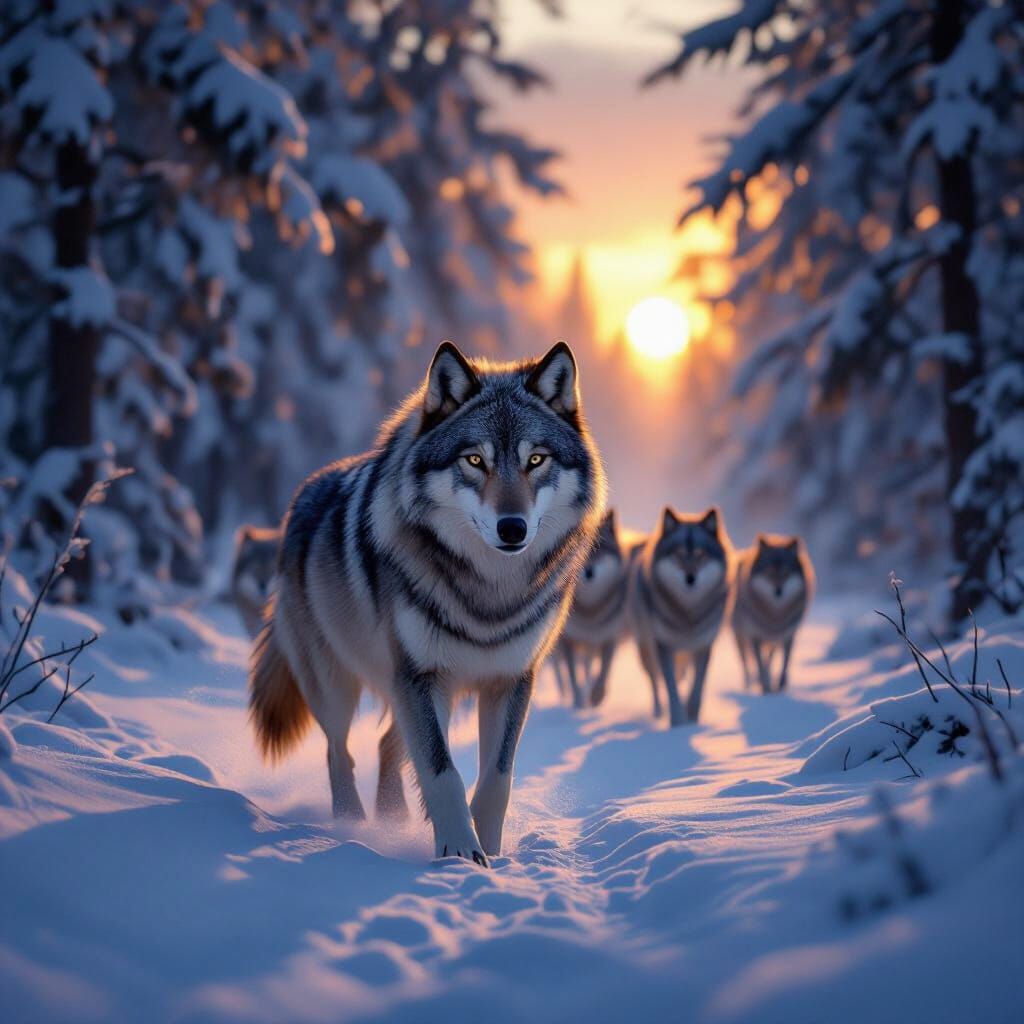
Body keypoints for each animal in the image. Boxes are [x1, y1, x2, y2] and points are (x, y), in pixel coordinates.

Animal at [250, 341, 606, 865]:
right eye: (474, 460)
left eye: (536, 459)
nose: (512, 528)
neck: (489, 593)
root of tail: (304, 491)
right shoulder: (419, 675)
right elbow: (443, 773)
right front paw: (459, 853)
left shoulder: (511, 679)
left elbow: (496, 779)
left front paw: (491, 855)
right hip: (339, 684)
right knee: (340, 751)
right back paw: (353, 824)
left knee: (384, 745)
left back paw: (392, 818)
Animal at [551, 509, 631, 709]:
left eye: (600, 548)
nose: (589, 572)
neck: (591, 610)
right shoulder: (568, 642)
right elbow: (572, 676)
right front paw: (578, 702)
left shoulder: (609, 637)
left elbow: (603, 671)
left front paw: (596, 696)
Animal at [630, 507, 733, 726]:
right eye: (678, 553)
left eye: (700, 554)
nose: (690, 578)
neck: (688, 613)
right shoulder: (664, 646)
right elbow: (671, 689)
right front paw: (677, 722)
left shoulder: (704, 645)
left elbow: (697, 687)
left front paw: (692, 718)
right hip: (646, 650)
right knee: (655, 681)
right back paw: (658, 712)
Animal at [732, 534, 814, 693]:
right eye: (769, 571)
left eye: (786, 573)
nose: (778, 591)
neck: (775, 614)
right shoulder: (755, 637)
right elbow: (760, 667)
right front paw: (766, 688)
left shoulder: (788, 635)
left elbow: (784, 664)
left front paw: (780, 686)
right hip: (740, 637)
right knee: (746, 664)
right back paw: (749, 685)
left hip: (773, 641)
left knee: (769, 659)